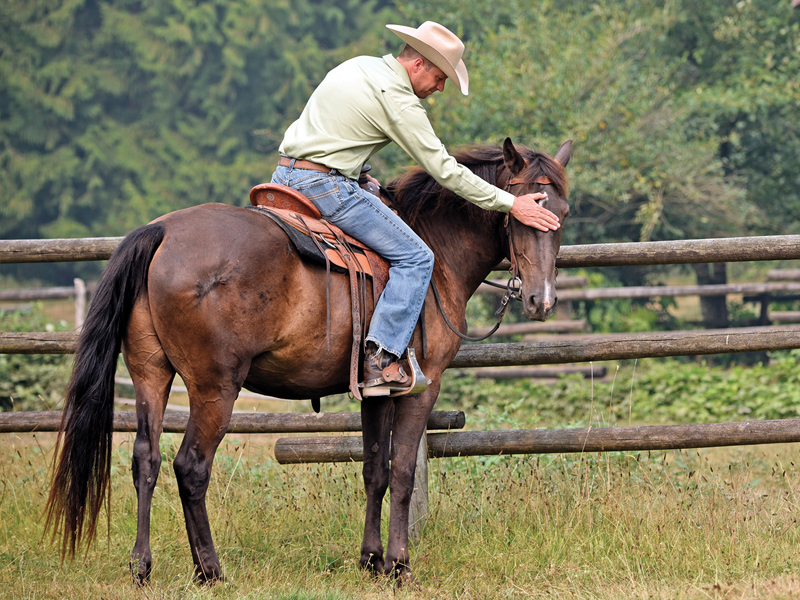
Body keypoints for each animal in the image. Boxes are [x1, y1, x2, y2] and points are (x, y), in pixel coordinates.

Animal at [45, 137, 572, 584]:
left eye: (564, 213)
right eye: (528, 211)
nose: (542, 300)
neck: (436, 252)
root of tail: (163, 231)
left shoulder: (376, 393)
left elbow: (375, 471)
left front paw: (371, 561)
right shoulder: (424, 387)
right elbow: (402, 471)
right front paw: (400, 567)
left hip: (151, 374)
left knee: (146, 460)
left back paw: (142, 567)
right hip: (214, 387)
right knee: (191, 467)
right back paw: (210, 571)